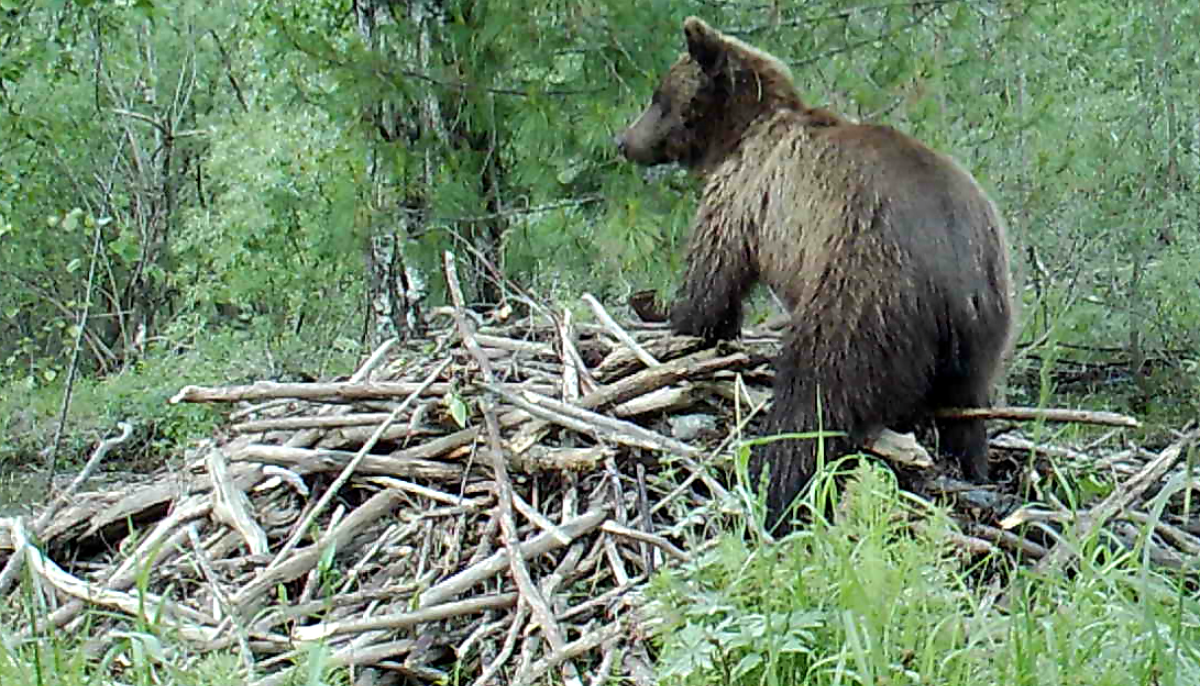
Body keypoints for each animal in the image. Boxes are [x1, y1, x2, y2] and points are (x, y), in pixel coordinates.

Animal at [619, 17, 1012, 530]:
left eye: (657, 96)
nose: (624, 142)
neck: (737, 134)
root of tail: (955, 274)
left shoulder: (744, 197)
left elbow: (713, 281)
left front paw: (680, 325)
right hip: (983, 324)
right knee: (966, 412)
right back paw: (971, 468)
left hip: (864, 288)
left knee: (816, 391)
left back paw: (773, 485)